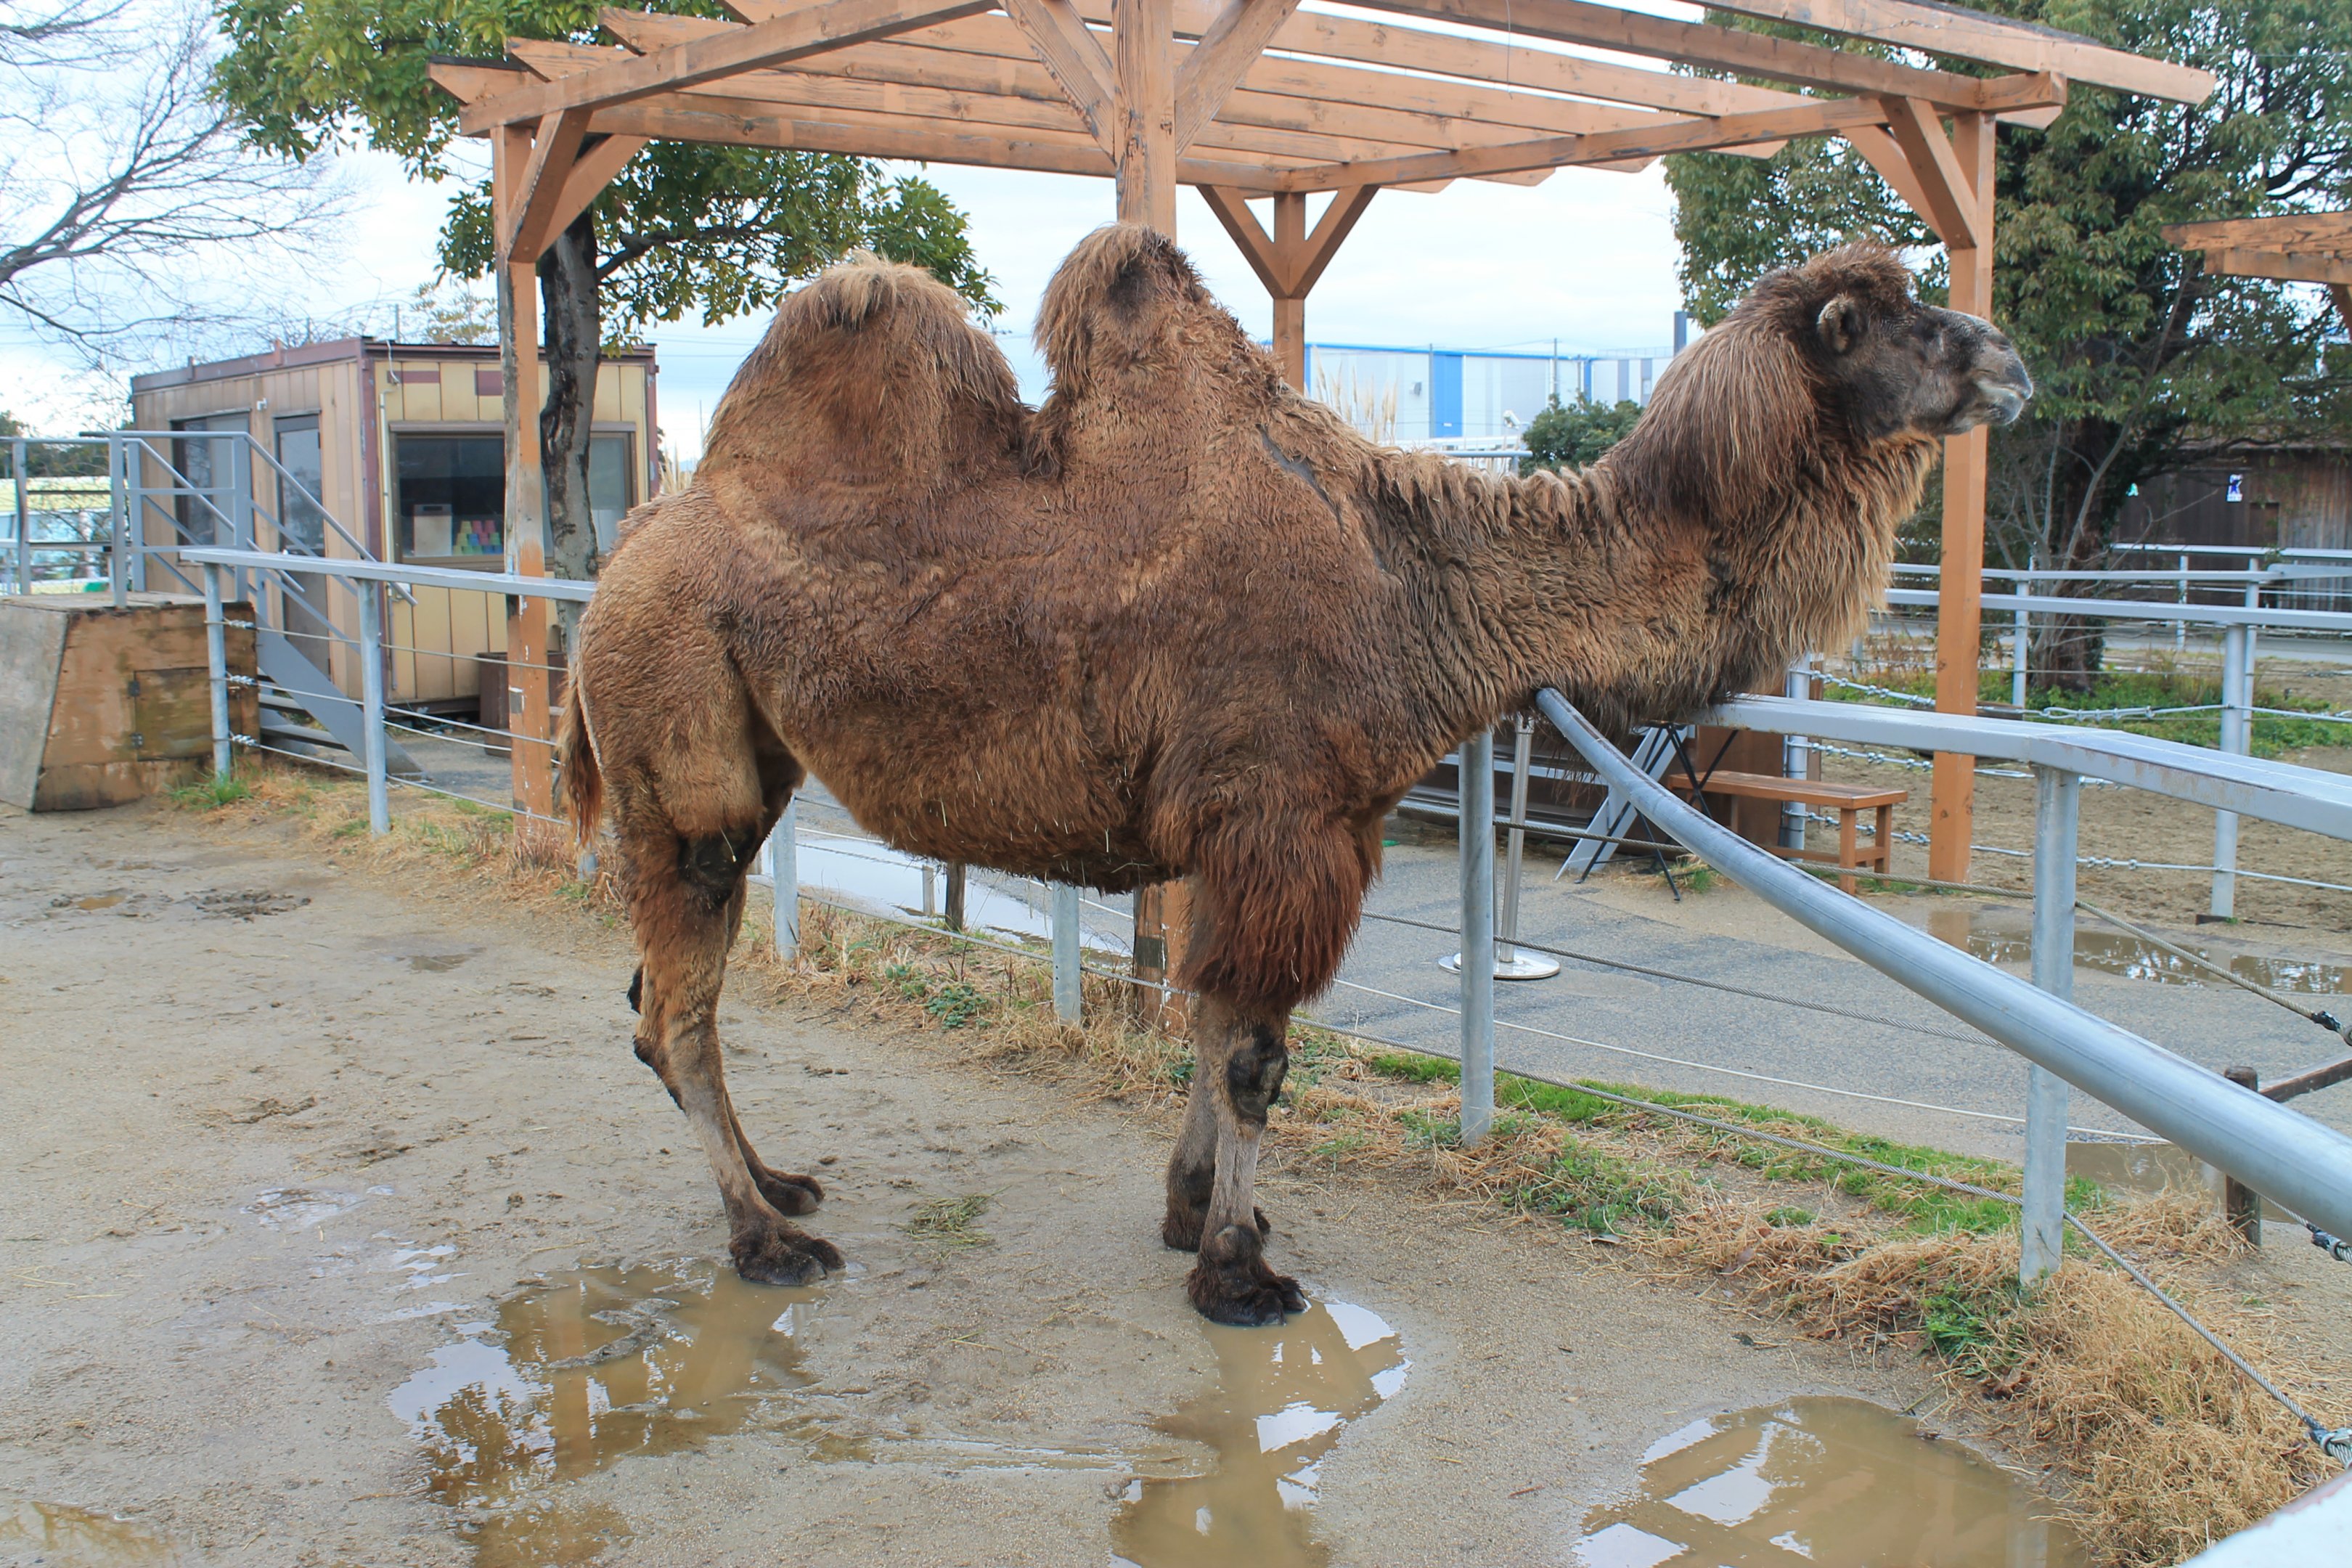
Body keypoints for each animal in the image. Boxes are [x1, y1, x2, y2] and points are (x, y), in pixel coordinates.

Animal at [559, 224, 2029, 1326]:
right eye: (1874, 318)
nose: (2007, 360)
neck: (1423, 592)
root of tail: (618, 563)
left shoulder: (1267, 831)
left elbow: (1216, 1031)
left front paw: (1201, 1214)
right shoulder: (1280, 817)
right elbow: (1258, 1055)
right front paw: (1239, 1270)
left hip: (741, 769)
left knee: (656, 1001)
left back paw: (782, 1185)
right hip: (679, 759)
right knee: (675, 1008)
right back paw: (763, 1241)